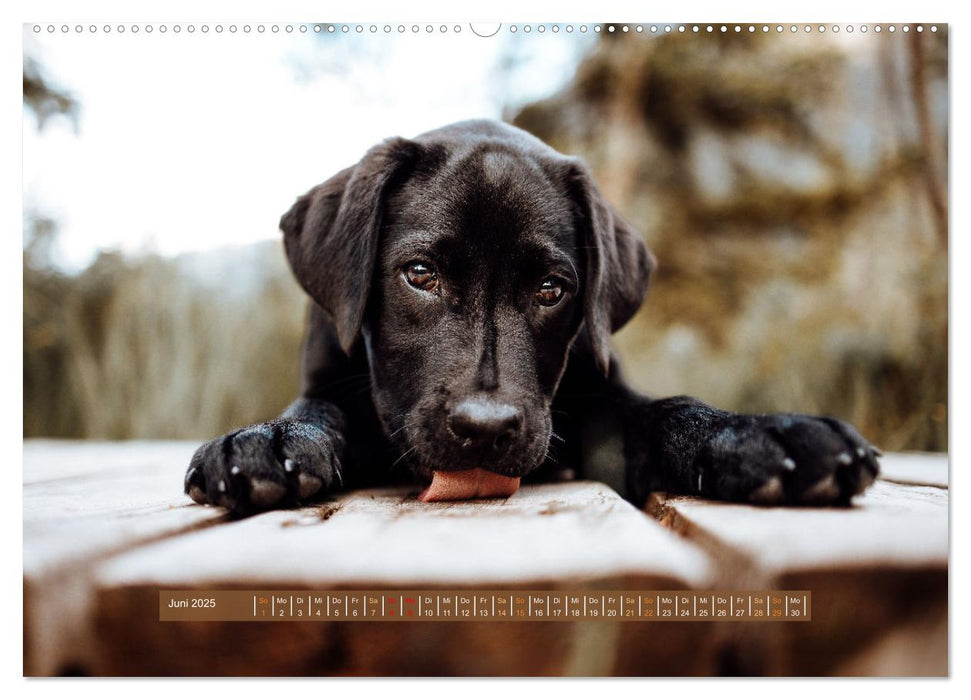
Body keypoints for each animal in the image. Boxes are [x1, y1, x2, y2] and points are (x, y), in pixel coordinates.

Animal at [184, 120, 880, 516]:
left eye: (552, 289)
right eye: (420, 274)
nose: (486, 429)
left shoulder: (604, 401)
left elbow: (669, 410)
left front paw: (760, 433)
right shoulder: (328, 378)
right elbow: (316, 409)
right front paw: (268, 440)